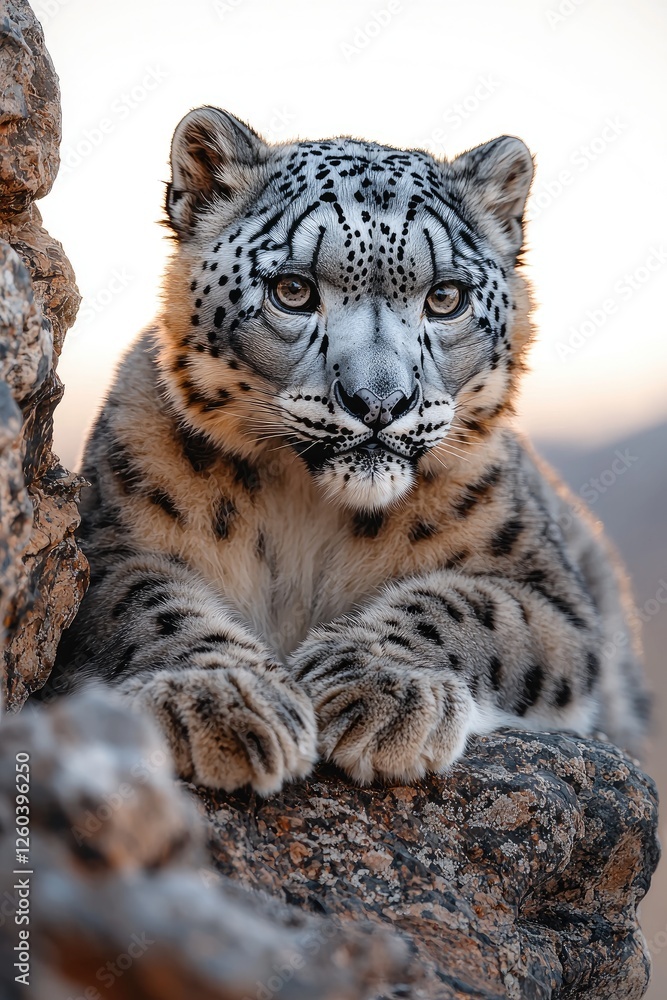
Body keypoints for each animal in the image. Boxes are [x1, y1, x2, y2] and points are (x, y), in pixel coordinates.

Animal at [51, 106, 648, 793]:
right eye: (293, 290)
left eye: (445, 298)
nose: (381, 402)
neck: (308, 507)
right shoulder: (109, 546)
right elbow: (151, 602)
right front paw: (223, 699)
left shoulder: (548, 593)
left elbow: (468, 607)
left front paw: (381, 689)